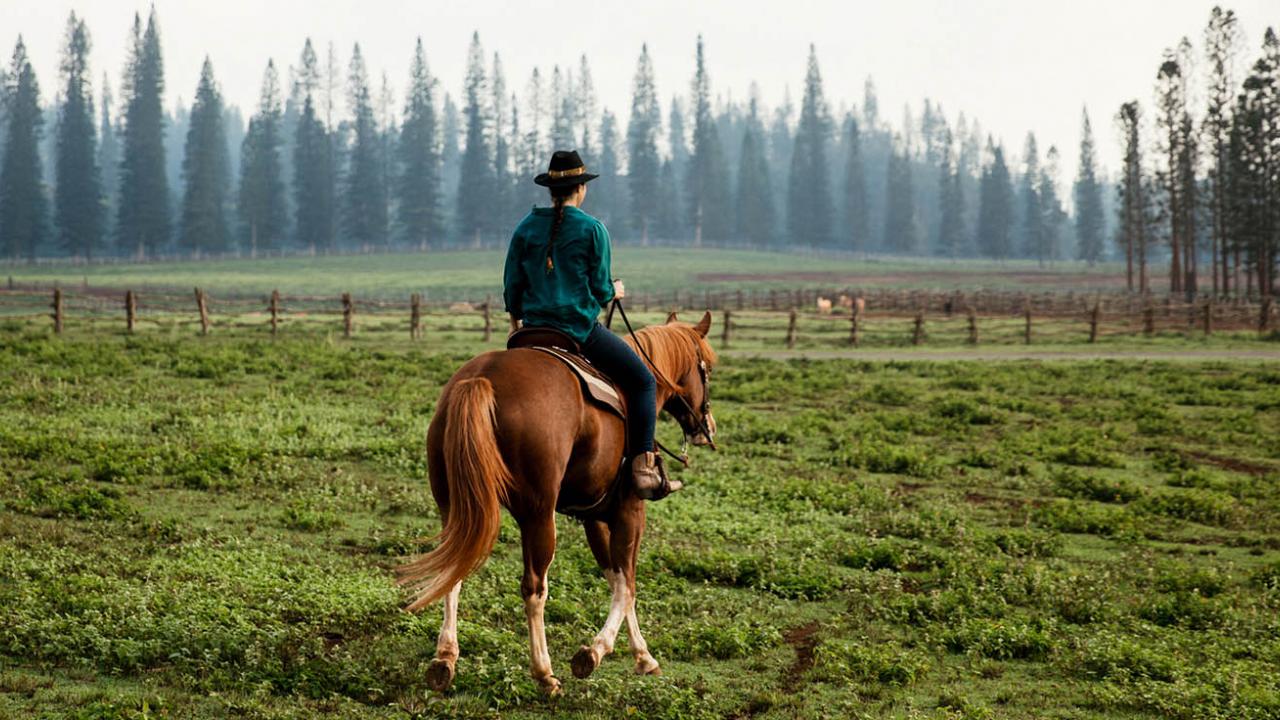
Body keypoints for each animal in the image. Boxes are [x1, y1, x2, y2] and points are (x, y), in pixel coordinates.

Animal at [396, 311, 716, 691]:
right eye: (707, 369)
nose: (707, 427)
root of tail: (482, 377)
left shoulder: (594, 516)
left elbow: (614, 578)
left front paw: (642, 656)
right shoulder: (630, 510)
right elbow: (628, 584)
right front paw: (596, 652)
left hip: (455, 509)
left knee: (454, 571)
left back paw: (444, 659)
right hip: (538, 514)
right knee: (534, 587)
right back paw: (544, 673)